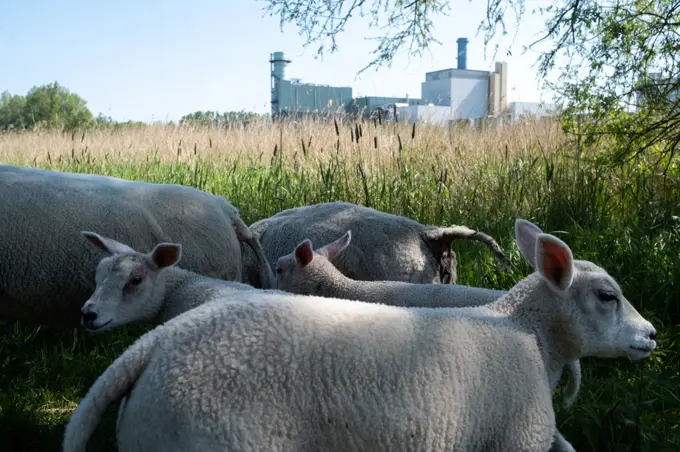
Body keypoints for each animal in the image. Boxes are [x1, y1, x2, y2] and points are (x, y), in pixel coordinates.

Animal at [63, 219, 660, 452]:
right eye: (607, 296)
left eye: (133, 280)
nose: (652, 335)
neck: (522, 331)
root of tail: (153, 347)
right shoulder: (515, 441)